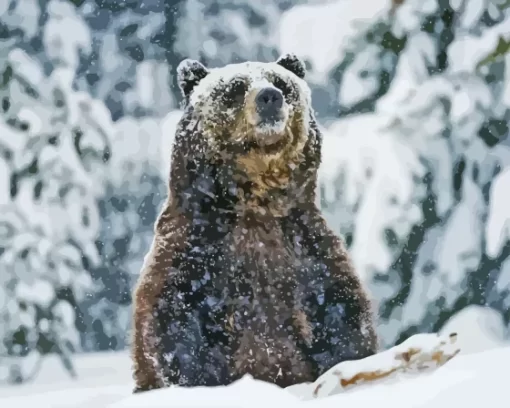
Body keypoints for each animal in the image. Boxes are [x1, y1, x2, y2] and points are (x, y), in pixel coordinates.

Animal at [131, 53, 378, 392]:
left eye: (281, 83)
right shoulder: (194, 249)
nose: (269, 97)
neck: (256, 204)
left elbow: (341, 313)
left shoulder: (306, 248)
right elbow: (173, 321)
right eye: (235, 87)